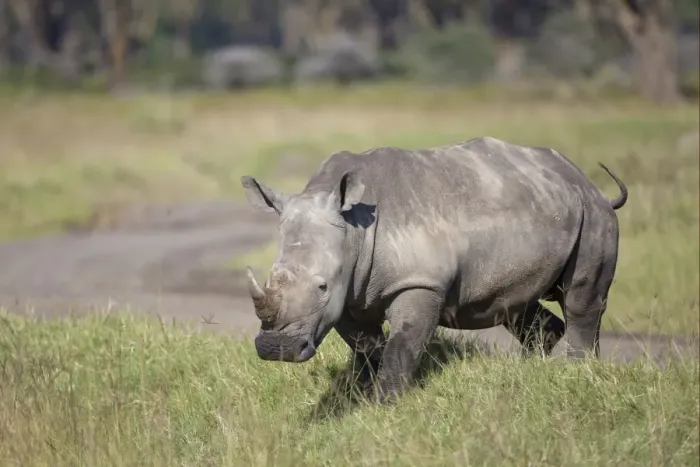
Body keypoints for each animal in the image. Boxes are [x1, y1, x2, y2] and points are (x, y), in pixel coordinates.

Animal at [241, 136, 628, 403]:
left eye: (321, 286)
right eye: (269, 279)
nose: (277, 349)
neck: (353, 231)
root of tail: (587, 182)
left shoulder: (419, 283)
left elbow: (403, 344)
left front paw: (385, 404)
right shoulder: (347, 294)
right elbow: (365, 345)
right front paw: (361, 393)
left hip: (592, 213)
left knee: (580, 297)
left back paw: (575, 372)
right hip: (545, 207)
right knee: (515, 305)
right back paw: (541, 368)